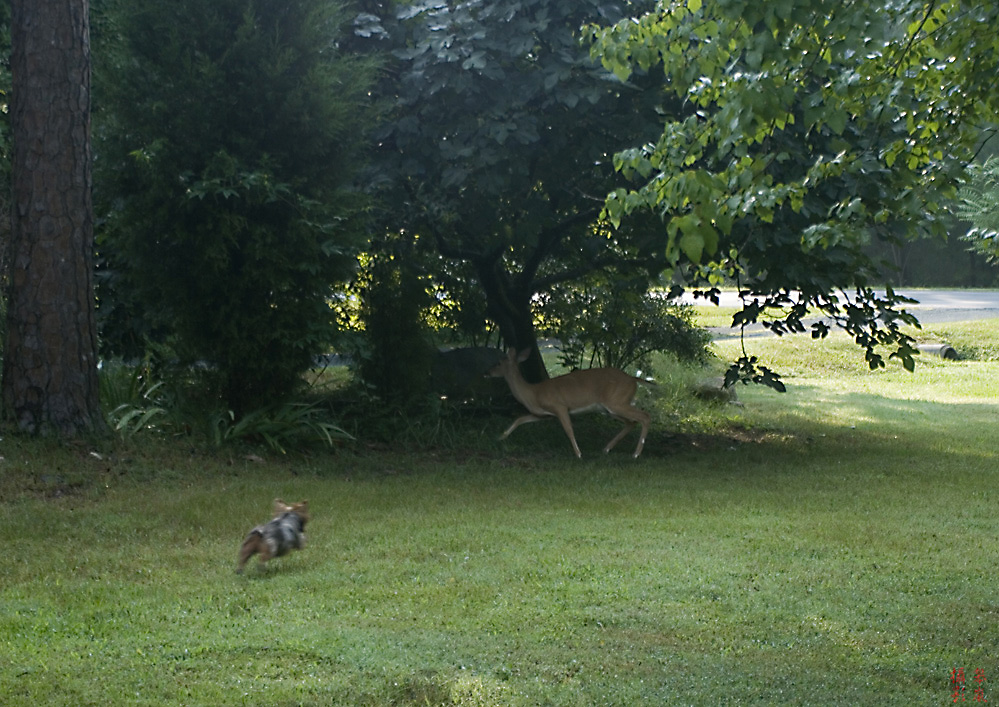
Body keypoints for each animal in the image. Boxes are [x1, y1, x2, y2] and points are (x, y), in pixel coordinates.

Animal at [486, 348, 656, 460]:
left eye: (499, 362)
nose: (487, 372)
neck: (532, 393)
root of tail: (633, 379)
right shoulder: (543, 414)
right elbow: (519, 419)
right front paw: (501, 437)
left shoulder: (559, 406)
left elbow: (569, 430)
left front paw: (578, 454)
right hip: (610, 408)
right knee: (631, 422)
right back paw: (606, 449)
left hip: (616, 401)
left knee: (645, 416)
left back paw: (636, 454)